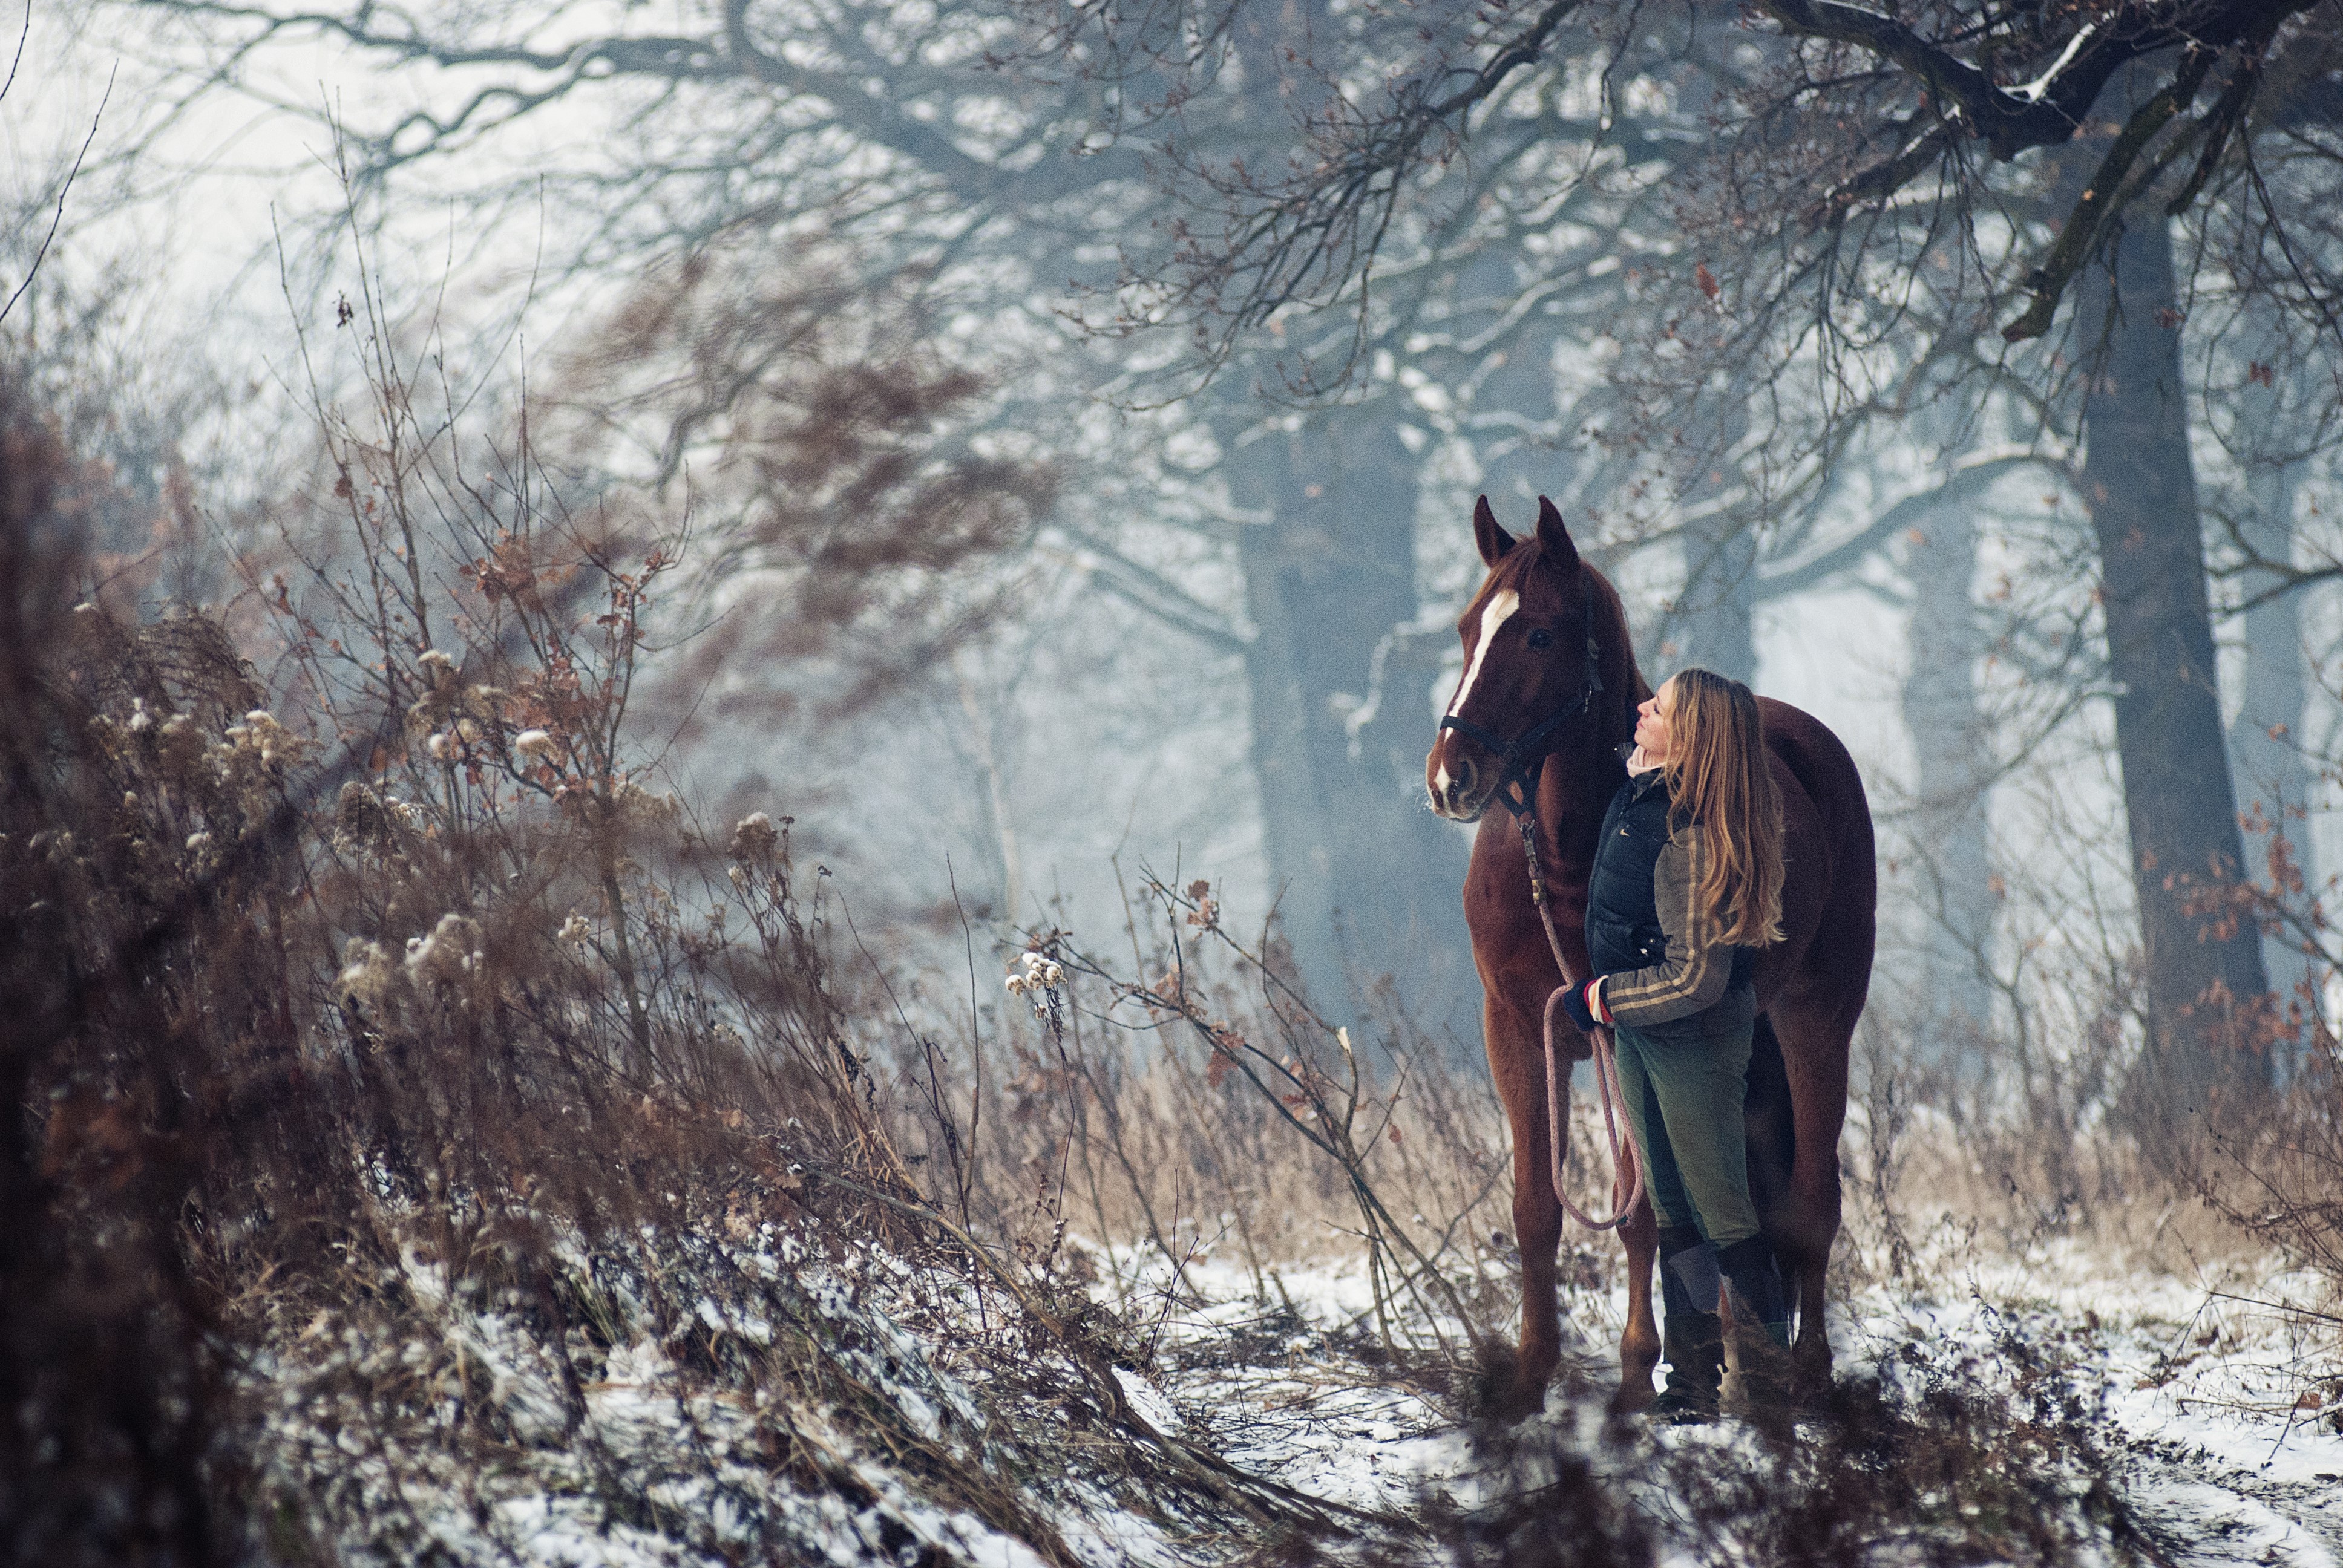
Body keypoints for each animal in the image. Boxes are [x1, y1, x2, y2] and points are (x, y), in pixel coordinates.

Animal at [1425, 494, 1876, 1421]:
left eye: (1539, 635)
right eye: (1465, 629)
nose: (1451, 778)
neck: (1571, 857)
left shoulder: (1621, 1035)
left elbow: (1638, 1214)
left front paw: (1637, 1374)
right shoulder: (1517, 1032)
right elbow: (1535, 1208)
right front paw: (1528, 1378)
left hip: (1817, 1020)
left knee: (1810, 1201)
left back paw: (1804, 1380)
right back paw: (1745, 1365)